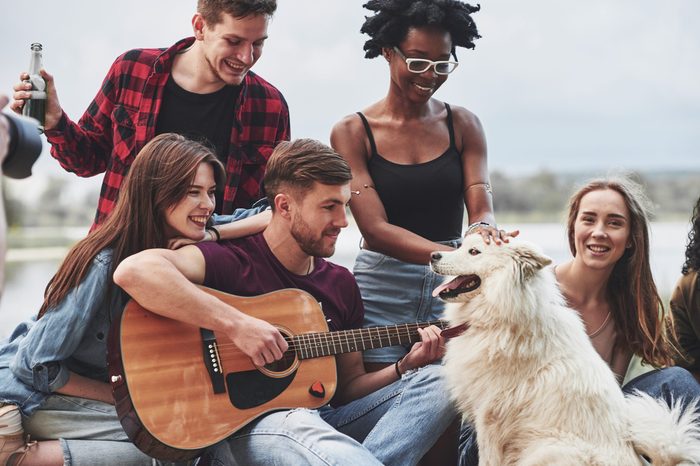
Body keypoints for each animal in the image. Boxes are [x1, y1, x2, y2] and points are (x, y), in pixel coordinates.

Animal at [430, 237, 700, 466]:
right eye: (463, 245)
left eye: (474, 252)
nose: (433, 255)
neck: (502, 314)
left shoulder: (489, 417)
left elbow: (487, 460)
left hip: (549, 449)